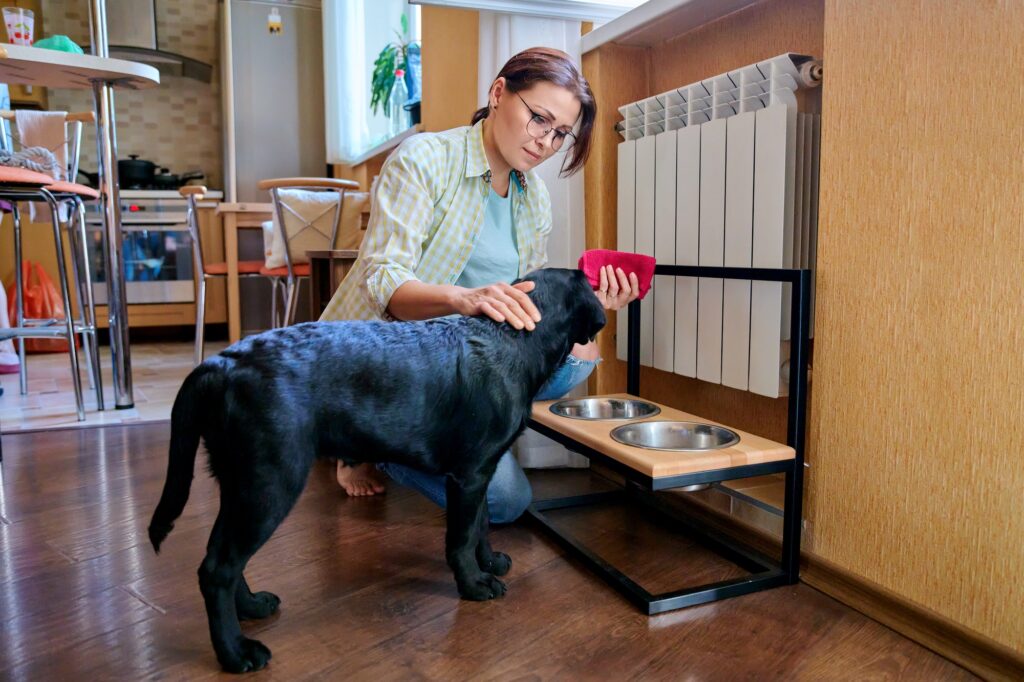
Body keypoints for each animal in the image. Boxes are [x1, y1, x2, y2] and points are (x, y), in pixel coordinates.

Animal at [148, 264, 602, 667]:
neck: (512, 338)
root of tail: (219, 363)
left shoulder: (481, 471)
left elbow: (481, 525)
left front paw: (488, 563)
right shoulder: (468, 474)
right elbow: (460, 537)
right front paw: (474, 584)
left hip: (240, 481)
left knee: (223, 557)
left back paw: (251, 607)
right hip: (271, 482)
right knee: (218, 569)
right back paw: (235, 653)